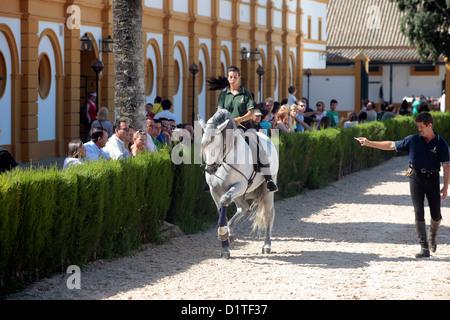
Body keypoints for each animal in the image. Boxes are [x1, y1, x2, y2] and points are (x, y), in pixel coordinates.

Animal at [200, 109, 280, 258]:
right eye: (203, 144)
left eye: (217, 144)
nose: (210, 169)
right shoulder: (215, 191)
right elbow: (222, 211)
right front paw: (225, 241)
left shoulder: (239, 185)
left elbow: (225, 201)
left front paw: (223, 236)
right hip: (239, 194)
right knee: (243, 207)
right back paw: (231, 232)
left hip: (266, 191)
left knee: (268, 214)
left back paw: (266, 245)